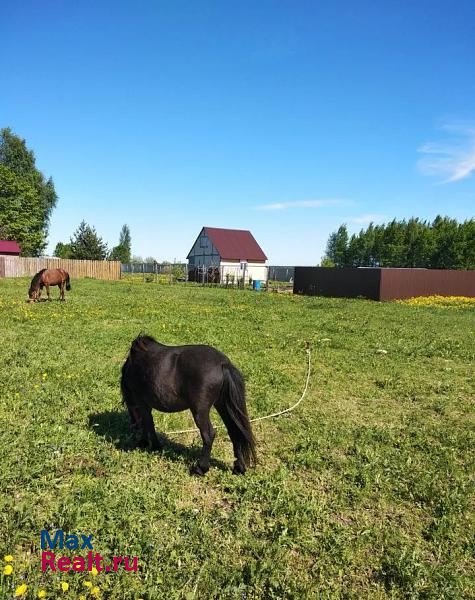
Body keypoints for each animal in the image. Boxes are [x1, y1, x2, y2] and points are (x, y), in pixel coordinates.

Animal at [121, 336, 258, 476]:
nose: (132, 424)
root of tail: (223, 364)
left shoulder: (143, 403)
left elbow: (148, 424)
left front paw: (152, 445)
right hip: (223, 406)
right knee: (234, 431)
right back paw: (238, 468)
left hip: (200, 411)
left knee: (209, 435)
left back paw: (200, 468)